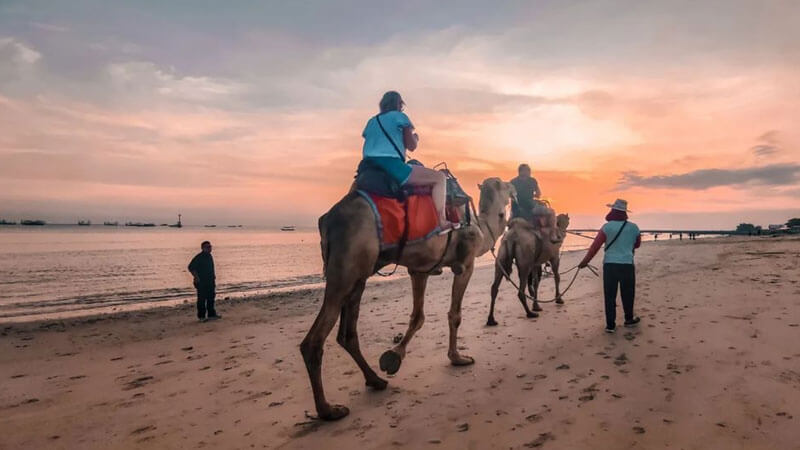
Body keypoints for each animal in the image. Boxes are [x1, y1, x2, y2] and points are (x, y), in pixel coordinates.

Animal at [298, 175, 512, 418]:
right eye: (507, 186)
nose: (515, 189)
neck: (481, 226)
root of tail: (329, 218)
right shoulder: (465, 265)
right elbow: (454, 315)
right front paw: (458, 358)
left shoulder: (420, 269)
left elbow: (418, 316)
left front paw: (393, 357)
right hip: (346, 266)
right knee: (315, 340)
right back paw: (328, 410)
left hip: (358, 274)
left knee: (347, 333)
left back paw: (375, 380)